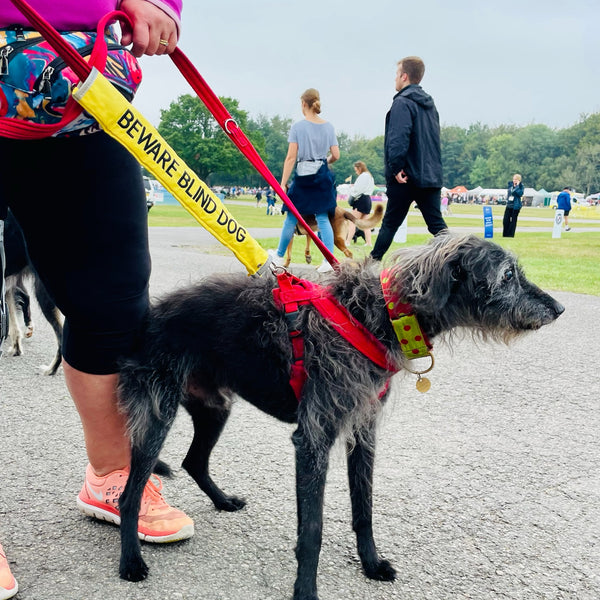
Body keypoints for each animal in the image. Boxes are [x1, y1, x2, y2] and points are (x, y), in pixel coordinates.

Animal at [115, 233, 564, 600]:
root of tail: (151, 316)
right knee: (130, 494)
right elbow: (312, 531)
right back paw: (131, 562)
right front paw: (305, 591)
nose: (558, 308)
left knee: (194, 460)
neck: (376, 316)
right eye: (507, 275)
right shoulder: (313, 438)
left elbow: (363, 508)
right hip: (159, 416)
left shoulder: (362, 430)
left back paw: (222, 500)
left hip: (215, 408)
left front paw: (371, 563)